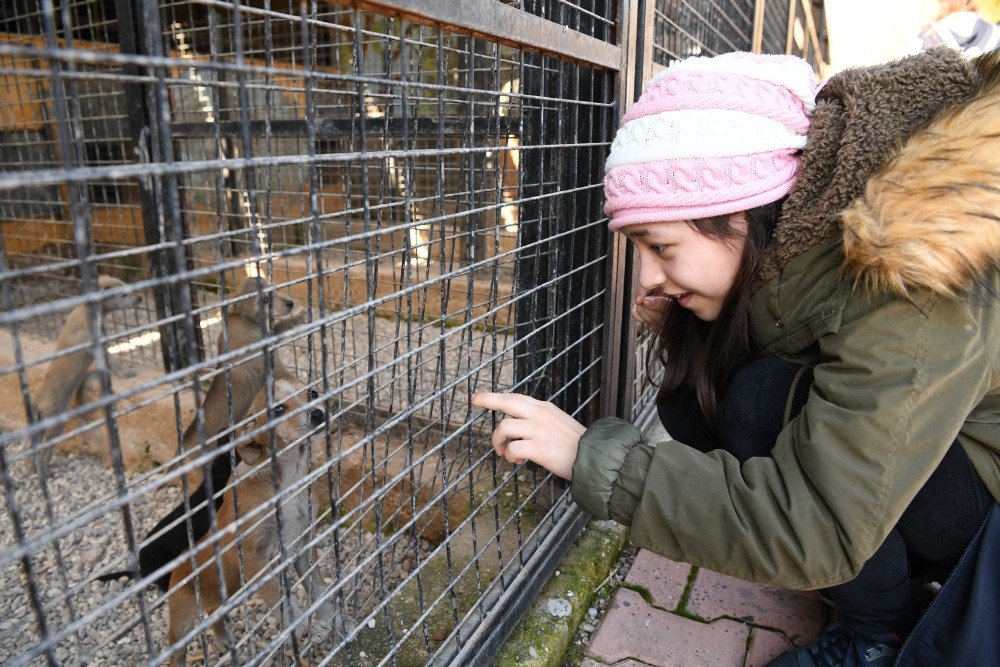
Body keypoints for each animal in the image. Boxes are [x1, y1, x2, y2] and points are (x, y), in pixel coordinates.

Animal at [31, 274, 144, 468]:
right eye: (123, 294)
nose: (140, 298)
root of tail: (37, 402)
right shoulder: (94, 346)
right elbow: (112, 361)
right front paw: (126, 373)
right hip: (55, 424)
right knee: (45, 448)